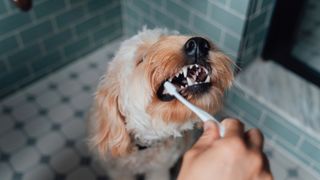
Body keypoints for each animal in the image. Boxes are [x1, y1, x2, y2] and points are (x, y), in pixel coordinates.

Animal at [87, 28, 232, 180]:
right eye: (142, 59)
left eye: (170, 37)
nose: (198, 44)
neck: (144, 147)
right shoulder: (119, 171)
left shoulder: (159, 169)